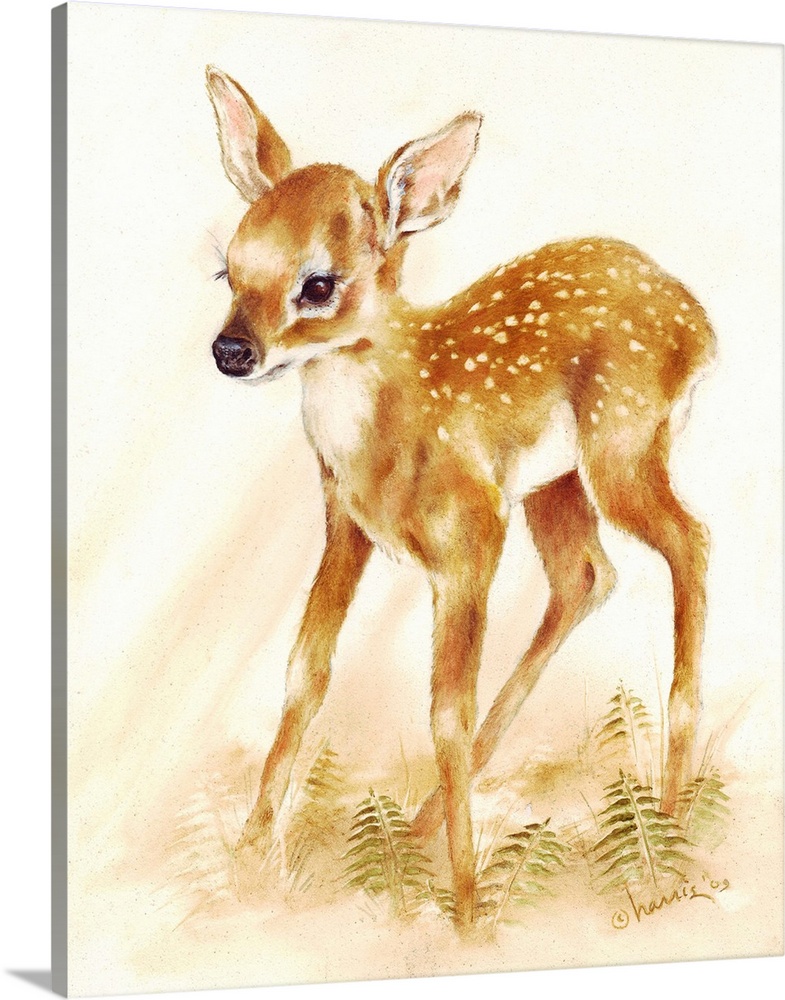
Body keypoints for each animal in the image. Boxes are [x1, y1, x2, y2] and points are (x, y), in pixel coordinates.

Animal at [205, 66, 715, 930]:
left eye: (318, 284)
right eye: (228, 269)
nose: (230, 350)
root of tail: (699, 326)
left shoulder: (470, 532)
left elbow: (444, 709)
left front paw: (468, 911)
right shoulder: (343, 523)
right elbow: (307, 671)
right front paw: (245, 861)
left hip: (620, 447)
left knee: (690, 541)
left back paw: (671, 814)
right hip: (554, 484)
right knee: (588, 575)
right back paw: (419, 830)